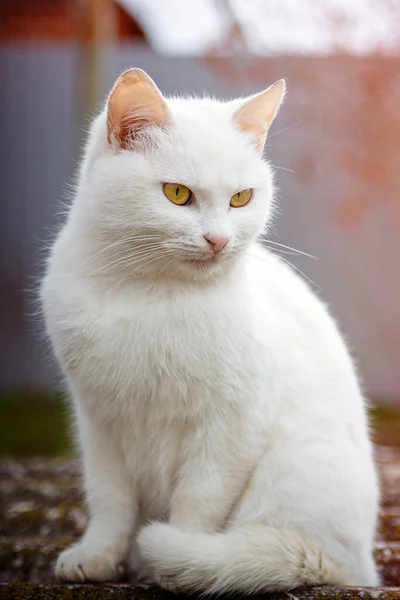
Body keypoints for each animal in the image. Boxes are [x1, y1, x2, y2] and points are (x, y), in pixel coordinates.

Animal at [40, 68, 378, 592]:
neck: (152, 296)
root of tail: (363, 561)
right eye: (177, 193)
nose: (218, 240)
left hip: (298, 475)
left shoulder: (228, 430)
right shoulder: (98, 421)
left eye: (241, 198)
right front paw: (98, 556)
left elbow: (197, 504)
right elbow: (110, 500)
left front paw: (171, 561)